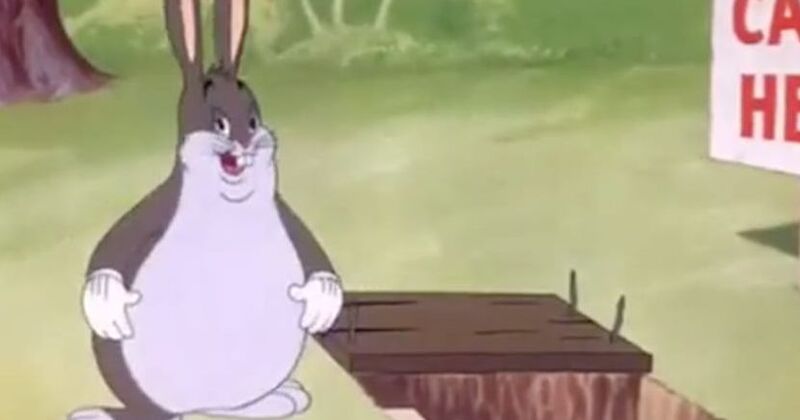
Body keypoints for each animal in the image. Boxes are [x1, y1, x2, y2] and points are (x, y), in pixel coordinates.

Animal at [68, 1, 344, 419]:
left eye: (253, 121)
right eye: (220, 123)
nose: (244, 146)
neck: (230, 202)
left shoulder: (288, 217)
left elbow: (314, 255)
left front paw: (322, 305)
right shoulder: (150, 216)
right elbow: (110, 249)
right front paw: (106, 308)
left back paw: (277, 400)